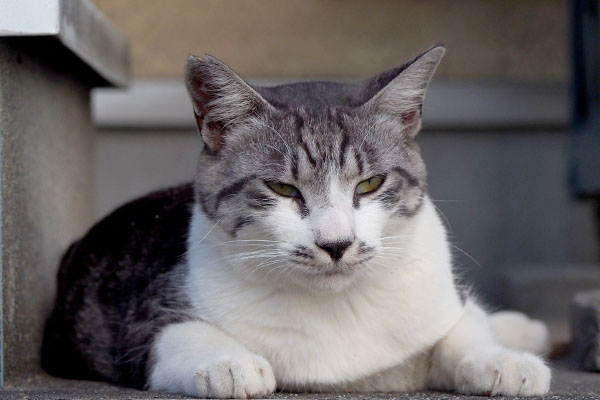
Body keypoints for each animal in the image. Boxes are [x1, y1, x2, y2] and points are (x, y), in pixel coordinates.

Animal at [39, 46, 552, 396]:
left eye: (370, 183)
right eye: (283, 189)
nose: (336, 243)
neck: (338, 306)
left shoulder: (439, 304)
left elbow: (462, 331)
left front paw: (505, 361)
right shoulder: (142, 324)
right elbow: (176, 334)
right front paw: (229, 363)